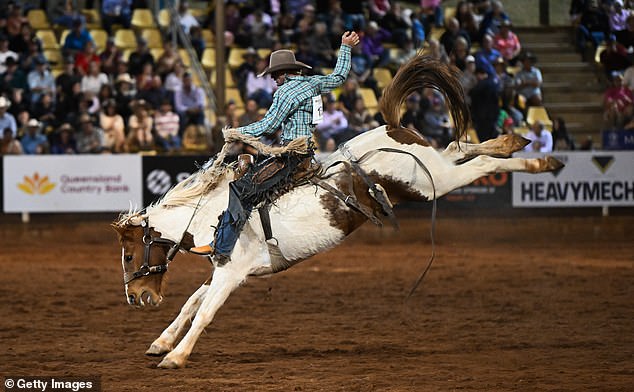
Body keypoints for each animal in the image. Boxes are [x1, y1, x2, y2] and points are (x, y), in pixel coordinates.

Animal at [111, 54, 560, 368]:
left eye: (130, 255)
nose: (137, 297)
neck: (214, 214)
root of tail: (391, 129)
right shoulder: (226, 270)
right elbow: (192, 302)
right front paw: (161, 343)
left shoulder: (232, 272)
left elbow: (203, 312)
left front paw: (176, 357)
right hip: (431, 169)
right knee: (459, 148)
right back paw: (515, 143)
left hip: (429, 183)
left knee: (477, 165)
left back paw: (539, 161)